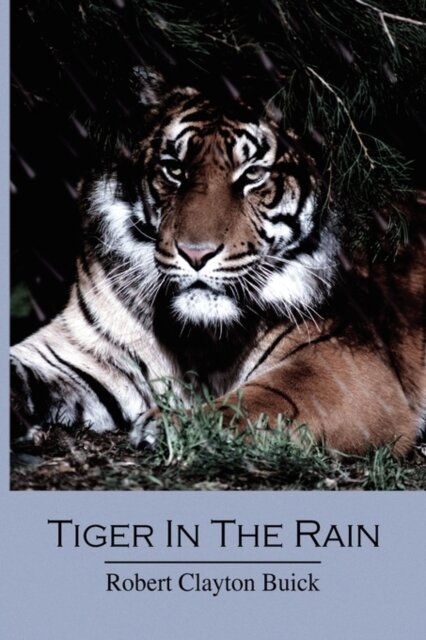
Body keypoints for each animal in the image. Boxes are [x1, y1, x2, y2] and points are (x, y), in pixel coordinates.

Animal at [11, 69, 426, 457]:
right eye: (175, 170)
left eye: (252, 174)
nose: (196, 253)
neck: (197, 337)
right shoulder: (79, 351)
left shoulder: (343, 364)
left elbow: (263, 400)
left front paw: (172, 426)